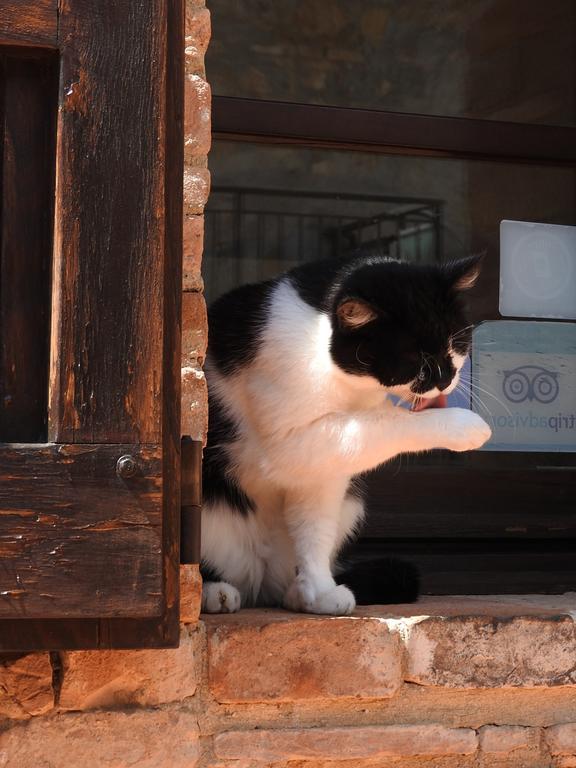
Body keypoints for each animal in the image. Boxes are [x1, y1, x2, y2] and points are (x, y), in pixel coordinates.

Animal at [201, 255, 490, 616]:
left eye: (455, 343)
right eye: (413, 360)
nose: (445, 379)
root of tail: (259, 580)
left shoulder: (324, 470)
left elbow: (315, 528)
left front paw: (318, 591)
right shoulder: (292, 442)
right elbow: (386, 423)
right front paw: (465, 426)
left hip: (347, 507)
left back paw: (294, 594)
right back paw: (214, 591)